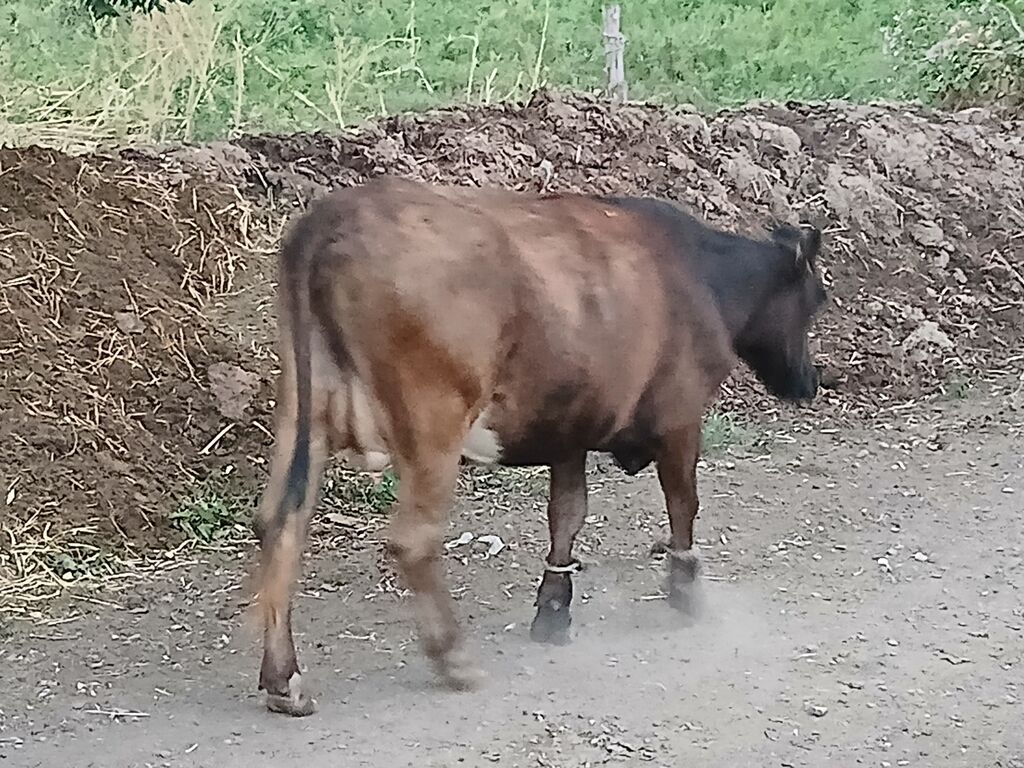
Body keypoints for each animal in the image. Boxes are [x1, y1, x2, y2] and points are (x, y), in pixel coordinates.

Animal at [251, 176, 828, 717]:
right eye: (815, 301)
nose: (808, 382)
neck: (704, 277)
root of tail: (336, 214)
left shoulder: (570, 428)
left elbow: (567, 514)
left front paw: (553, 609)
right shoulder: (680, 417)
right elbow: (683, 503)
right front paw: (687, 591)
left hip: (304, 405)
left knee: (280, 519)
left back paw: (284, 681)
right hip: (433, 418)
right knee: (412, 540)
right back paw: (454, 659)